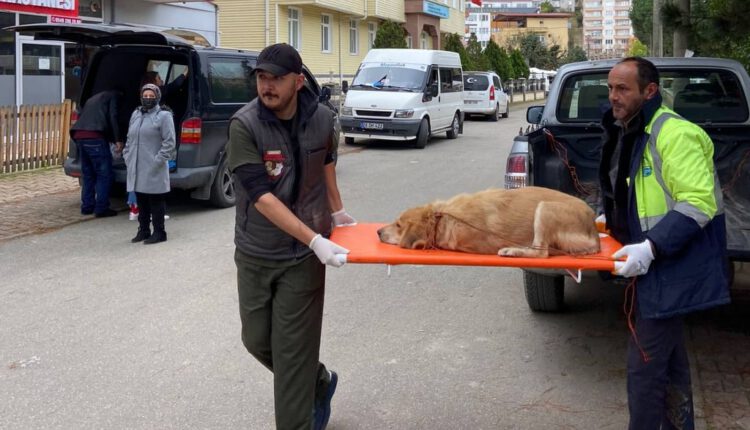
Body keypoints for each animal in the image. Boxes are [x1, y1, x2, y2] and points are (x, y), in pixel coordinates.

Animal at [378, 186, 604, 256]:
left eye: (398, 225)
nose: (378, 232)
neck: (442, 217)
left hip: (545, 208)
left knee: (541, 253)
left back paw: (512, 251)